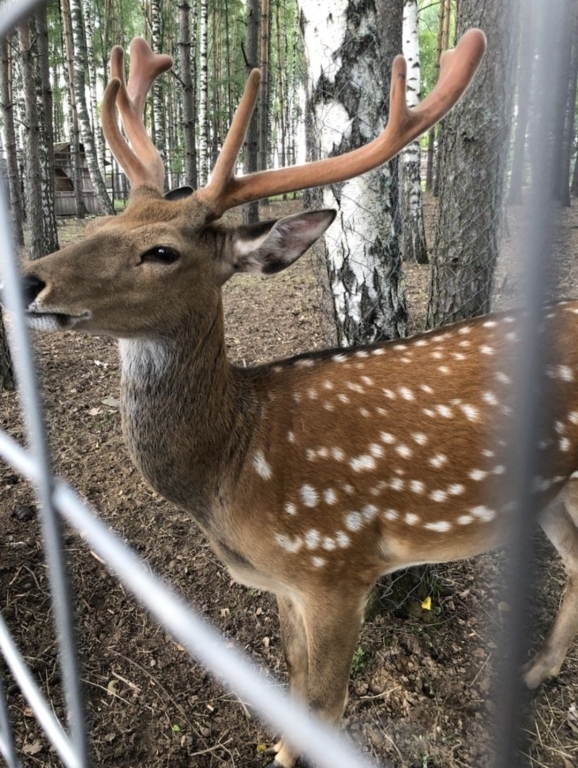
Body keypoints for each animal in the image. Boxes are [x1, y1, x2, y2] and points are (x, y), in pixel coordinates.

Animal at [14, 27, 578, 764]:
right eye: (101, 224)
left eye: (162, 251)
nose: (28, 280)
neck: (235, 466)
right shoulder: (286, 584)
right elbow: (290, 678)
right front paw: (280, 745)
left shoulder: (336, 565)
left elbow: (325, 703)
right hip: (551, 487)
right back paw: (538, 669)